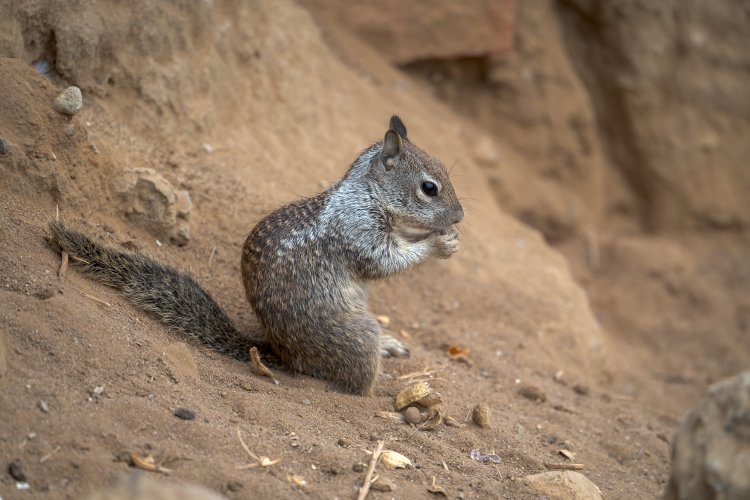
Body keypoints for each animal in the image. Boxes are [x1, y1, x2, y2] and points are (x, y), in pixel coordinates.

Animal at [50, 117, 464, 394]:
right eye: (429, 188)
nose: (460, 215)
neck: (366, 193)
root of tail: (283, 353)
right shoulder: (358, 229)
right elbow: (382, 262)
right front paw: (439, 243)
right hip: (357, 335)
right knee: (353, 381)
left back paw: (389, 345)